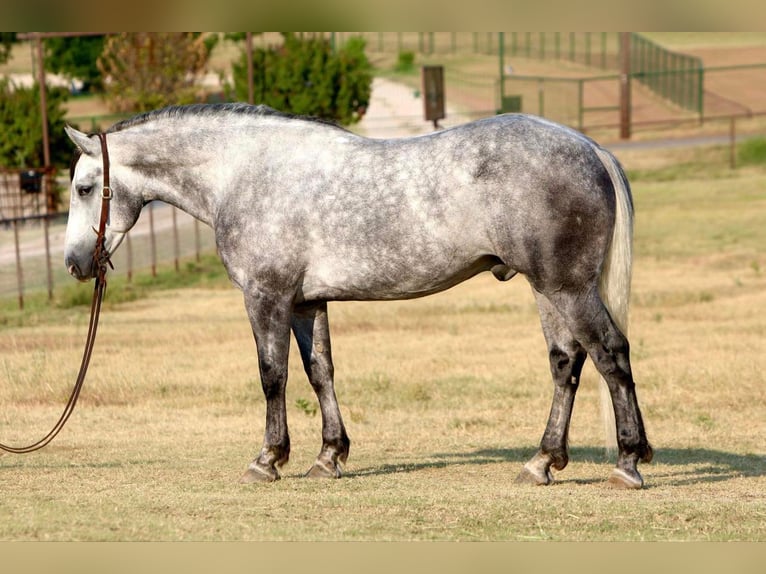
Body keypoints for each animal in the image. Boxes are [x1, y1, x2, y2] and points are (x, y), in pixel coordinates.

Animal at [66, 103, 656, 490]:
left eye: (83, 187)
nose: (74, 263)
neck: (244, 171)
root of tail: (590, 148)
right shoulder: (306, 302)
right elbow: (319, 372)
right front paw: (329, 456)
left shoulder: (266, 296)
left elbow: (272, 375)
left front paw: (268, 459)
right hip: (548, 290)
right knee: (566, 364)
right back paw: (542, 462)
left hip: (567, 288)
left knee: (610, 354)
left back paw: (628, 463)